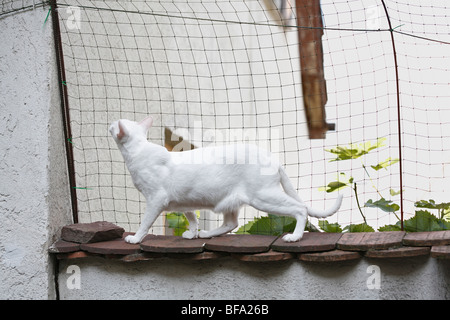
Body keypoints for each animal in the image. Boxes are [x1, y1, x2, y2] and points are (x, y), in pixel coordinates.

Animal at [110, 116, 344, 244]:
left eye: (113, 126)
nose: (109, 124)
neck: (137, 150)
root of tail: (274, 159)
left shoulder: (156, 199)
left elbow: (145, 223)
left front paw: (135, 239)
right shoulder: (181, 200)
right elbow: (192, 217)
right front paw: (192, 233)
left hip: (263, 197)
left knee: (300, 209)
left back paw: (294, 237)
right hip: (230, 201)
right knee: (232, 223)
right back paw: (206, 234)